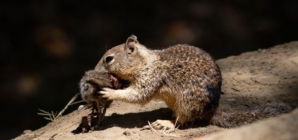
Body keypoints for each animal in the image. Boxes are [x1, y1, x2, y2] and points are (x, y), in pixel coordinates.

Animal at [85, 35, 290, 129]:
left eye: (108, 59)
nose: (92, 70)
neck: (145, 61)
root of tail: (212, 110)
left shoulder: (150, 77)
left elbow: (138, 95)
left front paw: (109, 92)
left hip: (187, 103)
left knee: (182, 121)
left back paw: (165, 122)